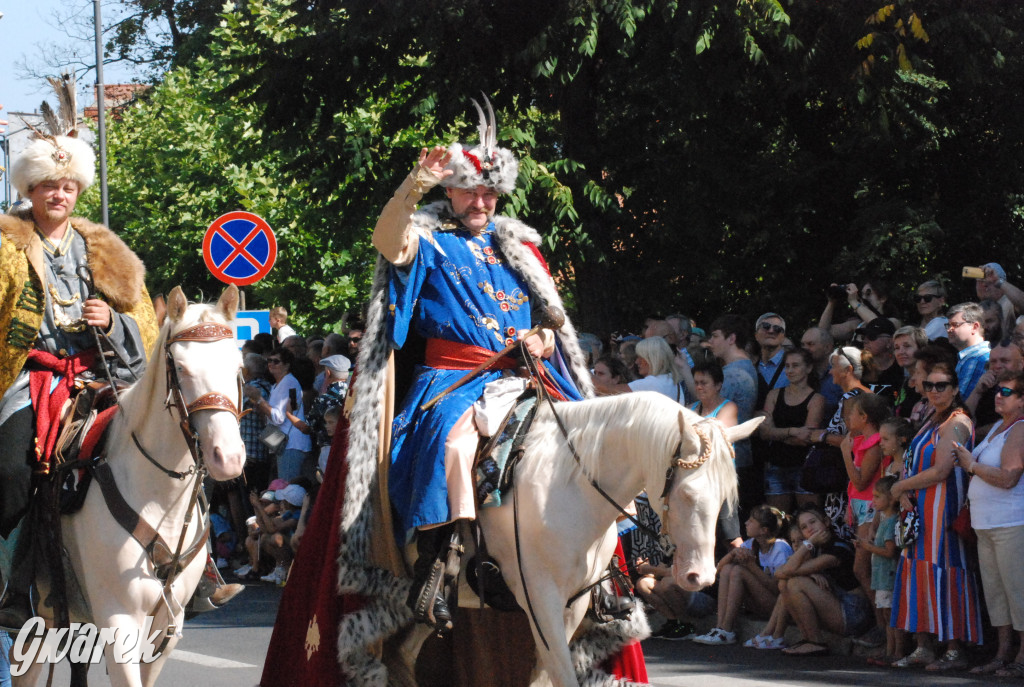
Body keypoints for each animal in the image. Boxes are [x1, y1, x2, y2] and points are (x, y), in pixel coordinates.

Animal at [12, 284, 246, 687]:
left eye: (237, 367)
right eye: (180, 368)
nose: (227, 457)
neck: (159, 497)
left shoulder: (166, 626)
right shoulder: (117, 619)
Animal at [387, 389, 765, 683]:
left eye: (726, 496)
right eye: (687, 494)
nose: (701, 576)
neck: (569, 485)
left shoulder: (574, 601)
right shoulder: (540, 599)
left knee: (402, 653)